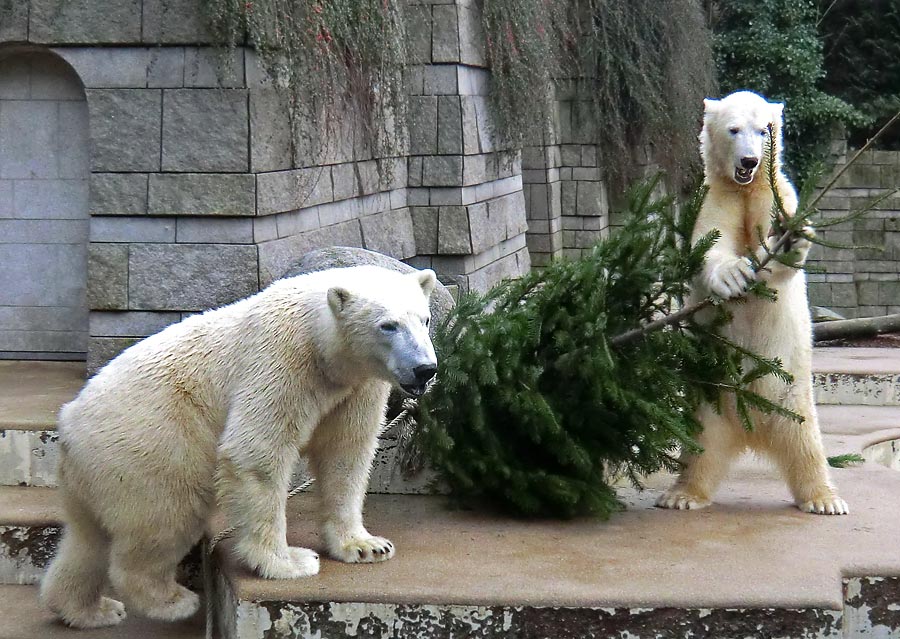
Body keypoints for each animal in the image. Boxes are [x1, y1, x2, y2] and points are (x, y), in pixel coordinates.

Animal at [40, 266, 442, 632]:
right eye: (388, 325)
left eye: (424, 319)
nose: (425, 369)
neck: (322, 343)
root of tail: (68, 426)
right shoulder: (282, 362)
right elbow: (257, 451)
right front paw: (289, 562)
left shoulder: (357, 386)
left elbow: (346, 454)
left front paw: (366, 546)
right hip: (150, 444)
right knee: (166, 517)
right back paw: (172, 601)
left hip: (99, 469)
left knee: (87, 540)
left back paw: (89, 609)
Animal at [656, 90, 848, 516]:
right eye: (734, 129)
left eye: (765, 130)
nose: (749, 161)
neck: (745, 188)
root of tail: (752, 429)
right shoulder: (715, 197)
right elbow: (709, 244)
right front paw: (732, 275)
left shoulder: (773, 192)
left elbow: (780, 253)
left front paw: (791, 239)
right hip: (707, 403)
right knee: (698, 447)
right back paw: (681, 495)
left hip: (795, 398)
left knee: (808, 445)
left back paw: (825, 499)